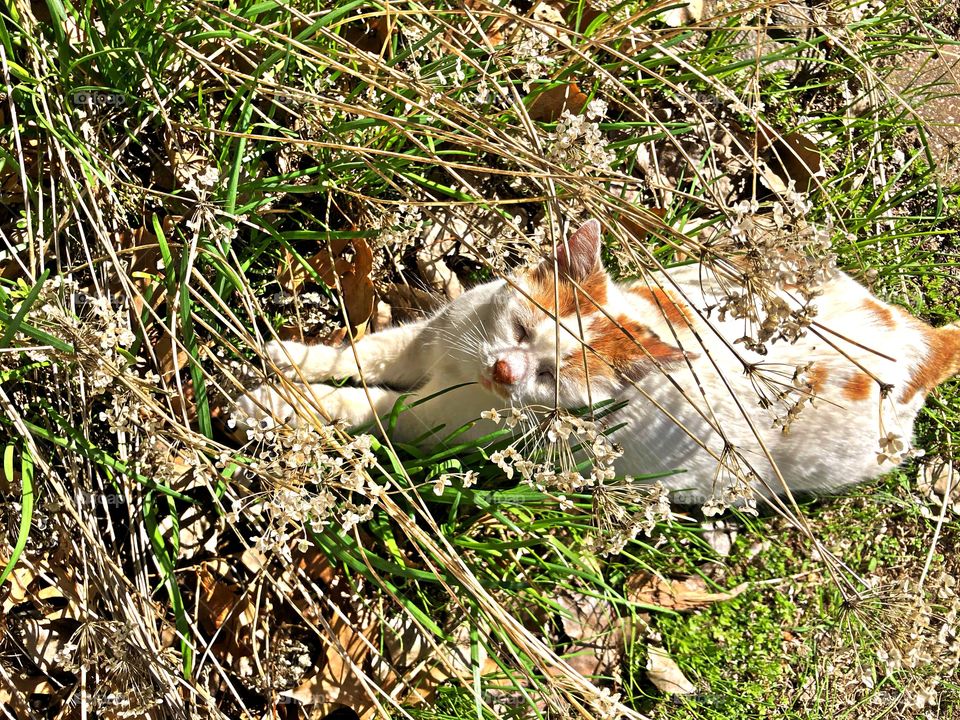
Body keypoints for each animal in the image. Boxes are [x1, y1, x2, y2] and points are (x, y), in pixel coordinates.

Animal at [238, 221, 960, 506]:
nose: (506, 373)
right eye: (523, 330)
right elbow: (363, 352)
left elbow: (366, 404)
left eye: (552, 378)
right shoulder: (426, 336)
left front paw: (274, 403)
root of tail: (924, 350)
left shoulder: (435, 423)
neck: (460, 369)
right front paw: (292, 355)